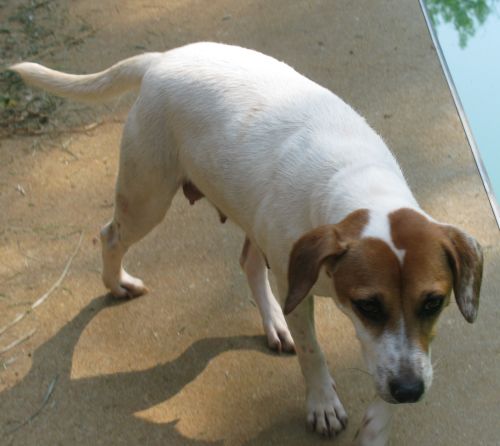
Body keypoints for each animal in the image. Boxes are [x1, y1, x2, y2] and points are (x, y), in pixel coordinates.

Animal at [10, 41, 480, 442]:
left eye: (433, 303)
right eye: (368, 306)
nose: (409, 391)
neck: (357, 184)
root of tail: (162, 59)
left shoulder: (405, 348)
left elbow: (396, 369)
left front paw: (379, 426)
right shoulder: (302, 292)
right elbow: (313, 351)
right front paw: (322, 403)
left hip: (245, 210)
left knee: (249, 262)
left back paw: (273, 322)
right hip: (146, 198)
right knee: (110, 235)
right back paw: (117, 283)